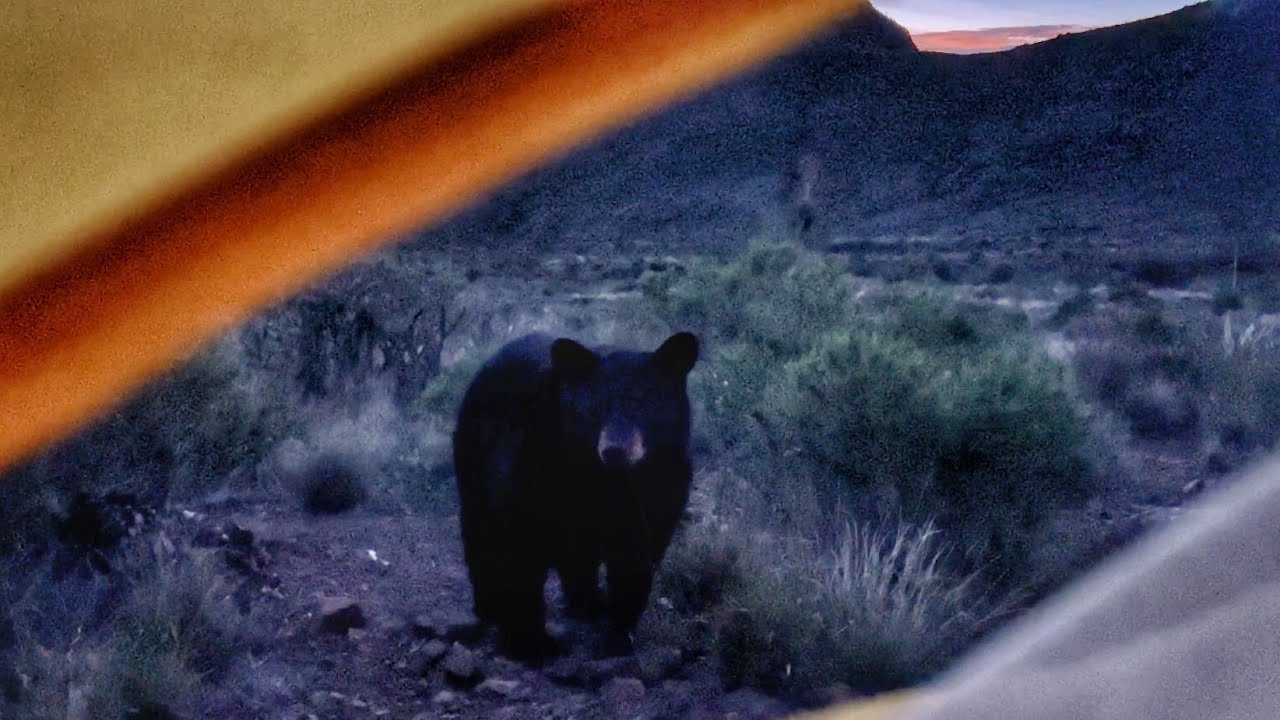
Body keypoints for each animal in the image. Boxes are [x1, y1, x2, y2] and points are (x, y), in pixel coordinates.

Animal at [452, 331, 699, 659]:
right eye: (594, 408)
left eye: (645, 402)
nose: (615, 450)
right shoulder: (535, 471)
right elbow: (517, 546)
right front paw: (529, 643)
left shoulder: (664, 486)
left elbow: (636, 557)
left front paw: (618, 632)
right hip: (475, 456)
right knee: (480, 528)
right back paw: (489, 606)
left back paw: (588, 604)